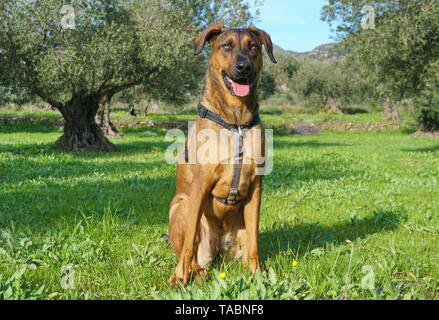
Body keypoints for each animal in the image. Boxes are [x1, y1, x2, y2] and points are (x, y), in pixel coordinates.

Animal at [167, 23, 276, 286]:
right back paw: (191, 273)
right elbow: (188, 243)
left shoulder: (256, 187)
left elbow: (255, 243)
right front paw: (180, 276)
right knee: (190, 252)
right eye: (226, 46)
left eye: (253, 46)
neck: (236, 121)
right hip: (180, 206)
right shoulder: (200, 187)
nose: (244, 67)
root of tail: (219, 249)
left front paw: (258, 275)